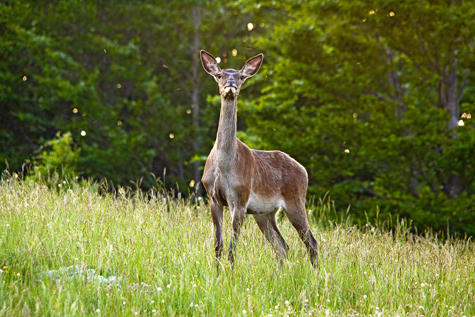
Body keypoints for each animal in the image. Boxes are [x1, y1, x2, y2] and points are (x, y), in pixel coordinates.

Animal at [199, 50, 318, 272]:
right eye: (219, 74)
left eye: (241, 76)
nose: (230, 83)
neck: (223, 166)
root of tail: (304, 170)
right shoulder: (213, 197)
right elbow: (218, 246)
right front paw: (216, 275)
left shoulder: (240, 198)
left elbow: (232, 249)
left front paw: (230, 276)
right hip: (265, 213)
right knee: (282, 246)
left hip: (296, 199)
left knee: (311, 242)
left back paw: (316, 275)